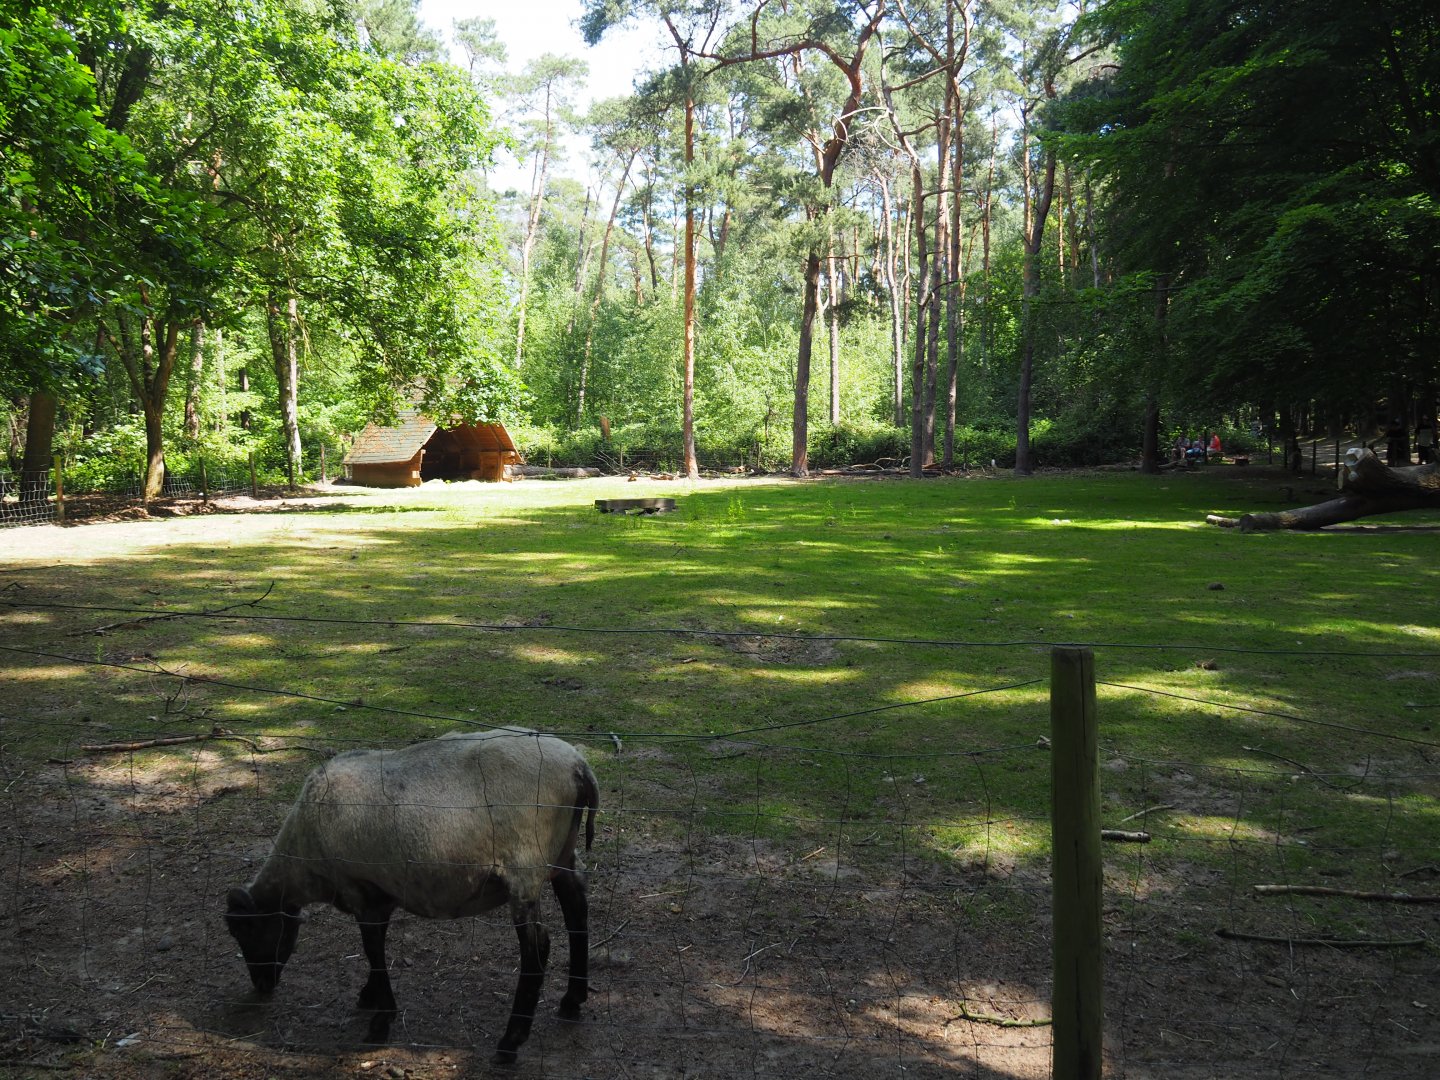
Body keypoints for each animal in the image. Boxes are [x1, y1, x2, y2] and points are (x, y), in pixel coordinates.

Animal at [224, 728, 599, 1064]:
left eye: (247, 929)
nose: (262, 984)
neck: (303, 859)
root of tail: (579, 765)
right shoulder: (381, 894)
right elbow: (375, 948)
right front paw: (370, 995)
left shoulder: (359, 889)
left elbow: (372, 948)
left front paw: (380, 1021)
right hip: (562, 854)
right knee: (577, 912)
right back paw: (572, 999)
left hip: (525, 866)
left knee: (538, 947)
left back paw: (511, 1041)